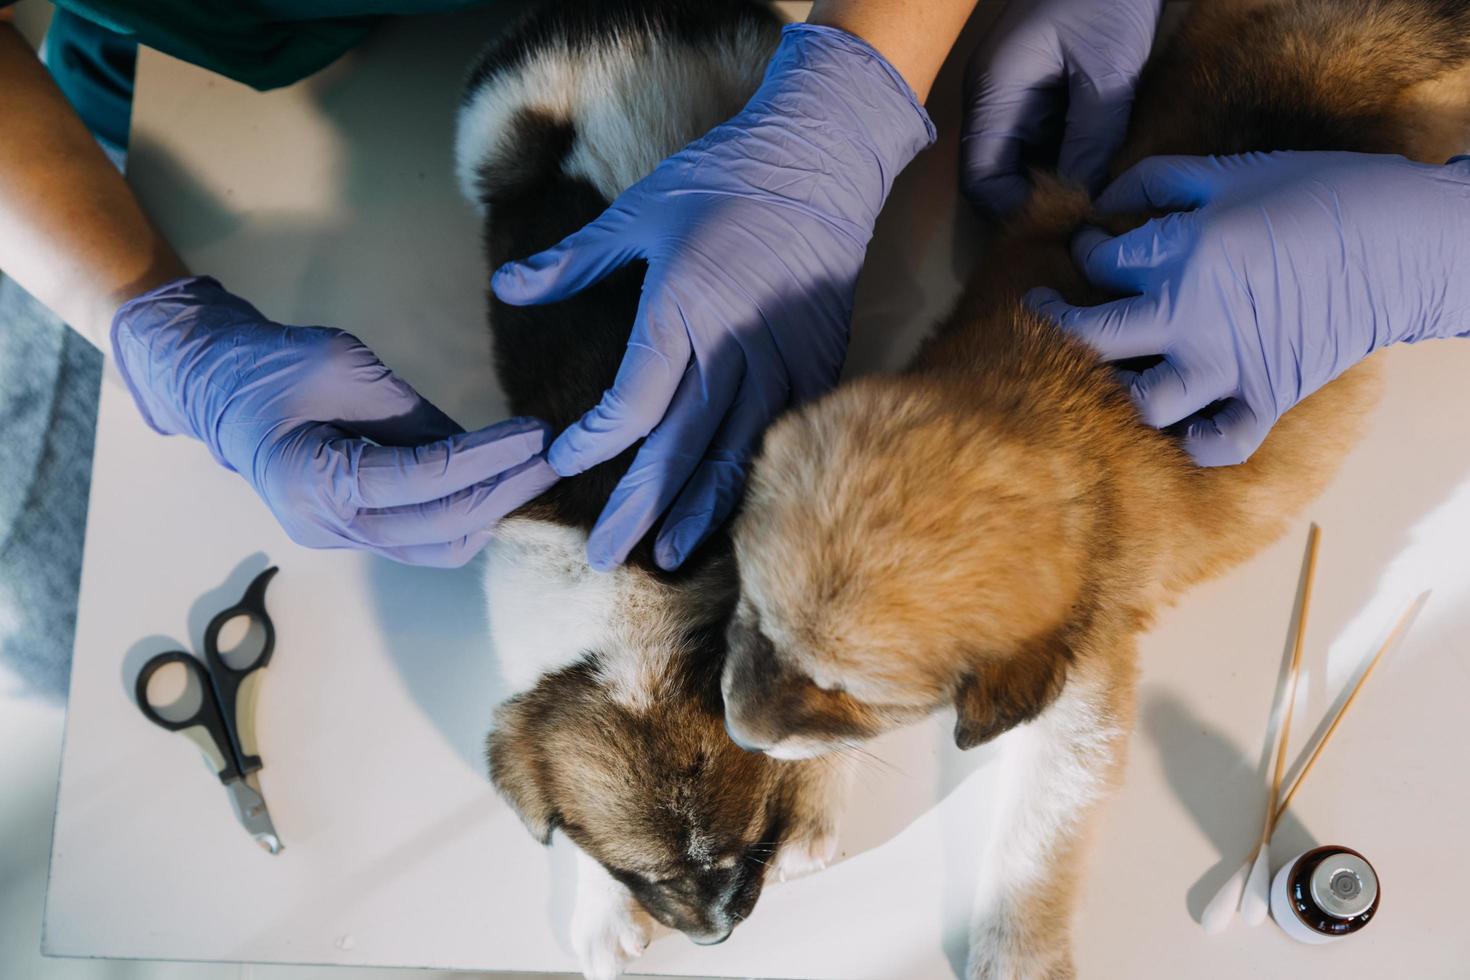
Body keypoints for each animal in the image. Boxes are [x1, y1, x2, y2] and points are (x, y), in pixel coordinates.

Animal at [452, 3, 846, 975]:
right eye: (644, 873)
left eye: (749, 845)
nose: (715, 935)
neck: (637, 600)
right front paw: (599, 911)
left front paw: (816, 804)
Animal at [720, 3, 1470, 975]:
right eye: (751, 619)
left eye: (855, 692)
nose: (740, 730)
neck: (1043, 412)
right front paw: (809, 796)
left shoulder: (1082, 702)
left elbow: (1037, 839)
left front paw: (1018, 945)